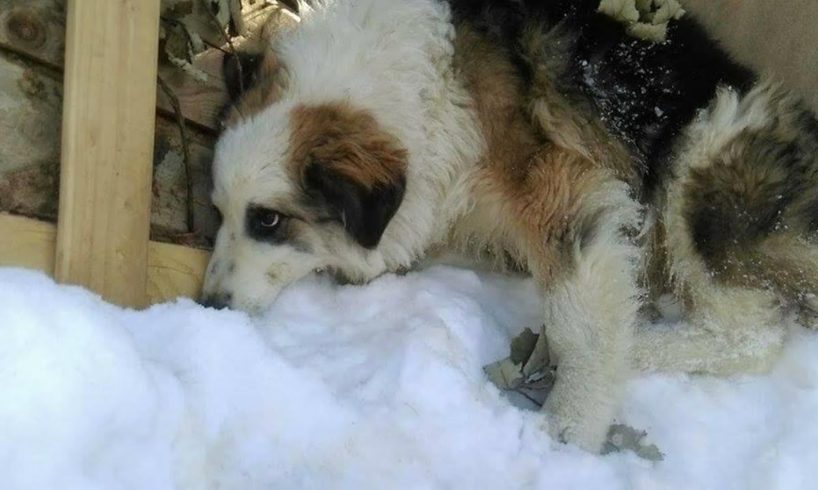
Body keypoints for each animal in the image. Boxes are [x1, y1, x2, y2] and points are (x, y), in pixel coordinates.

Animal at [199, 0, 816, 452]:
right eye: (218, 212)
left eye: (268, 219)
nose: (207, 306)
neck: (425, 91)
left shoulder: (562, 185)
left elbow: (579, 321)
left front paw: (573, 423)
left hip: (707, 148)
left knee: (753, 337)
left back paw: (640, 347)